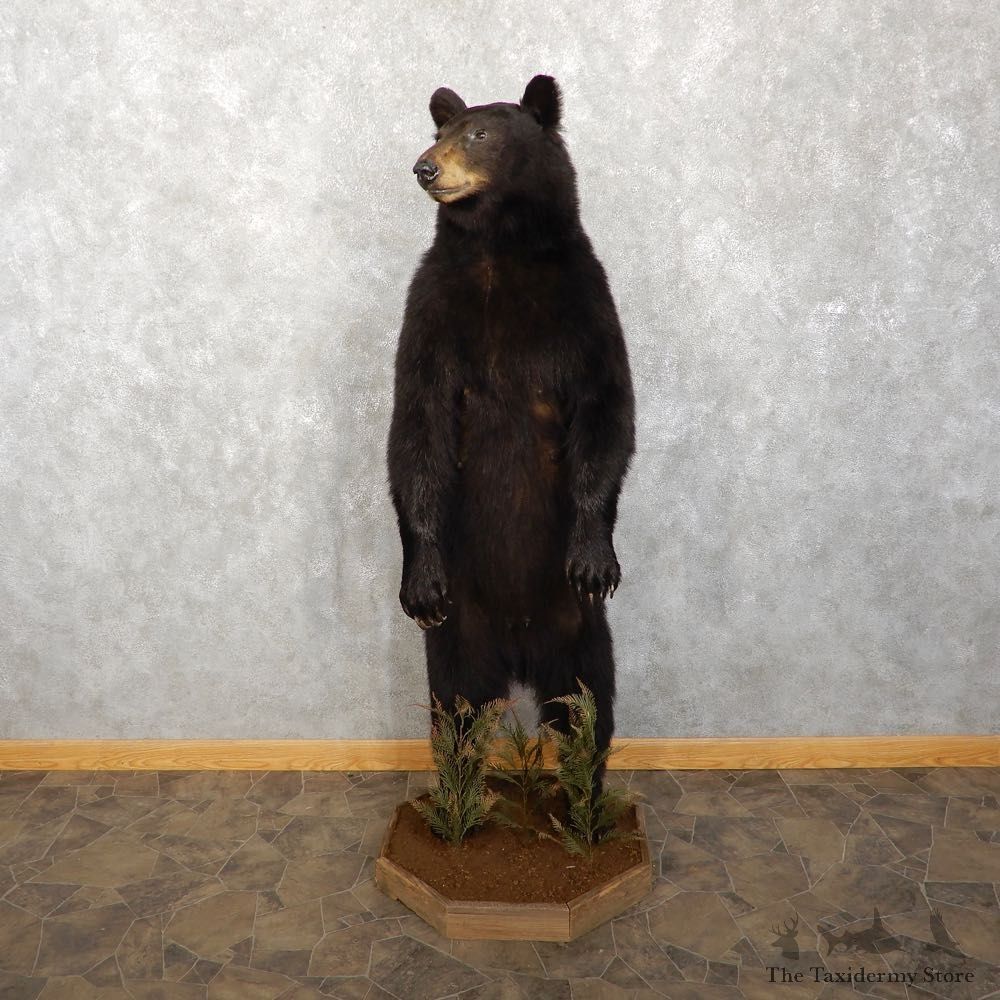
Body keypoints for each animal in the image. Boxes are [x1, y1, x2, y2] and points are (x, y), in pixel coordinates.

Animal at [387, 75, 635, 773]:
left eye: (479, 133)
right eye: (441, 129)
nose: (425, 166)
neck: (499, 247)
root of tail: (521, 649)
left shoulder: (583, 305)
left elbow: (606, 411)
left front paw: (595, 557)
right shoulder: (433, 310)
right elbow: (418, 425)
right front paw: (417, 579)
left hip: (578, 628)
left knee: (588, 700)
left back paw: (583, 777)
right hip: (459, 629)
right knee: (455, 706)